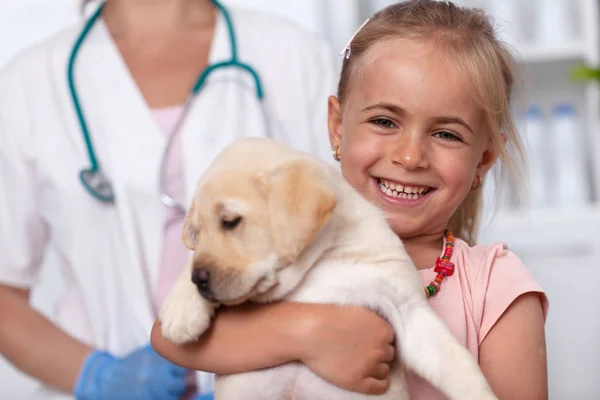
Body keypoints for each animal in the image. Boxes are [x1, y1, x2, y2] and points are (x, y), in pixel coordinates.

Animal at [158, 138, 496, 400]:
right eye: (197, 233)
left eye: (230, 222)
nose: (199, 281)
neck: (320, 262)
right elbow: (190, 262)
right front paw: (181, 311)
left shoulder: (407, 307)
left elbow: (459, 366)